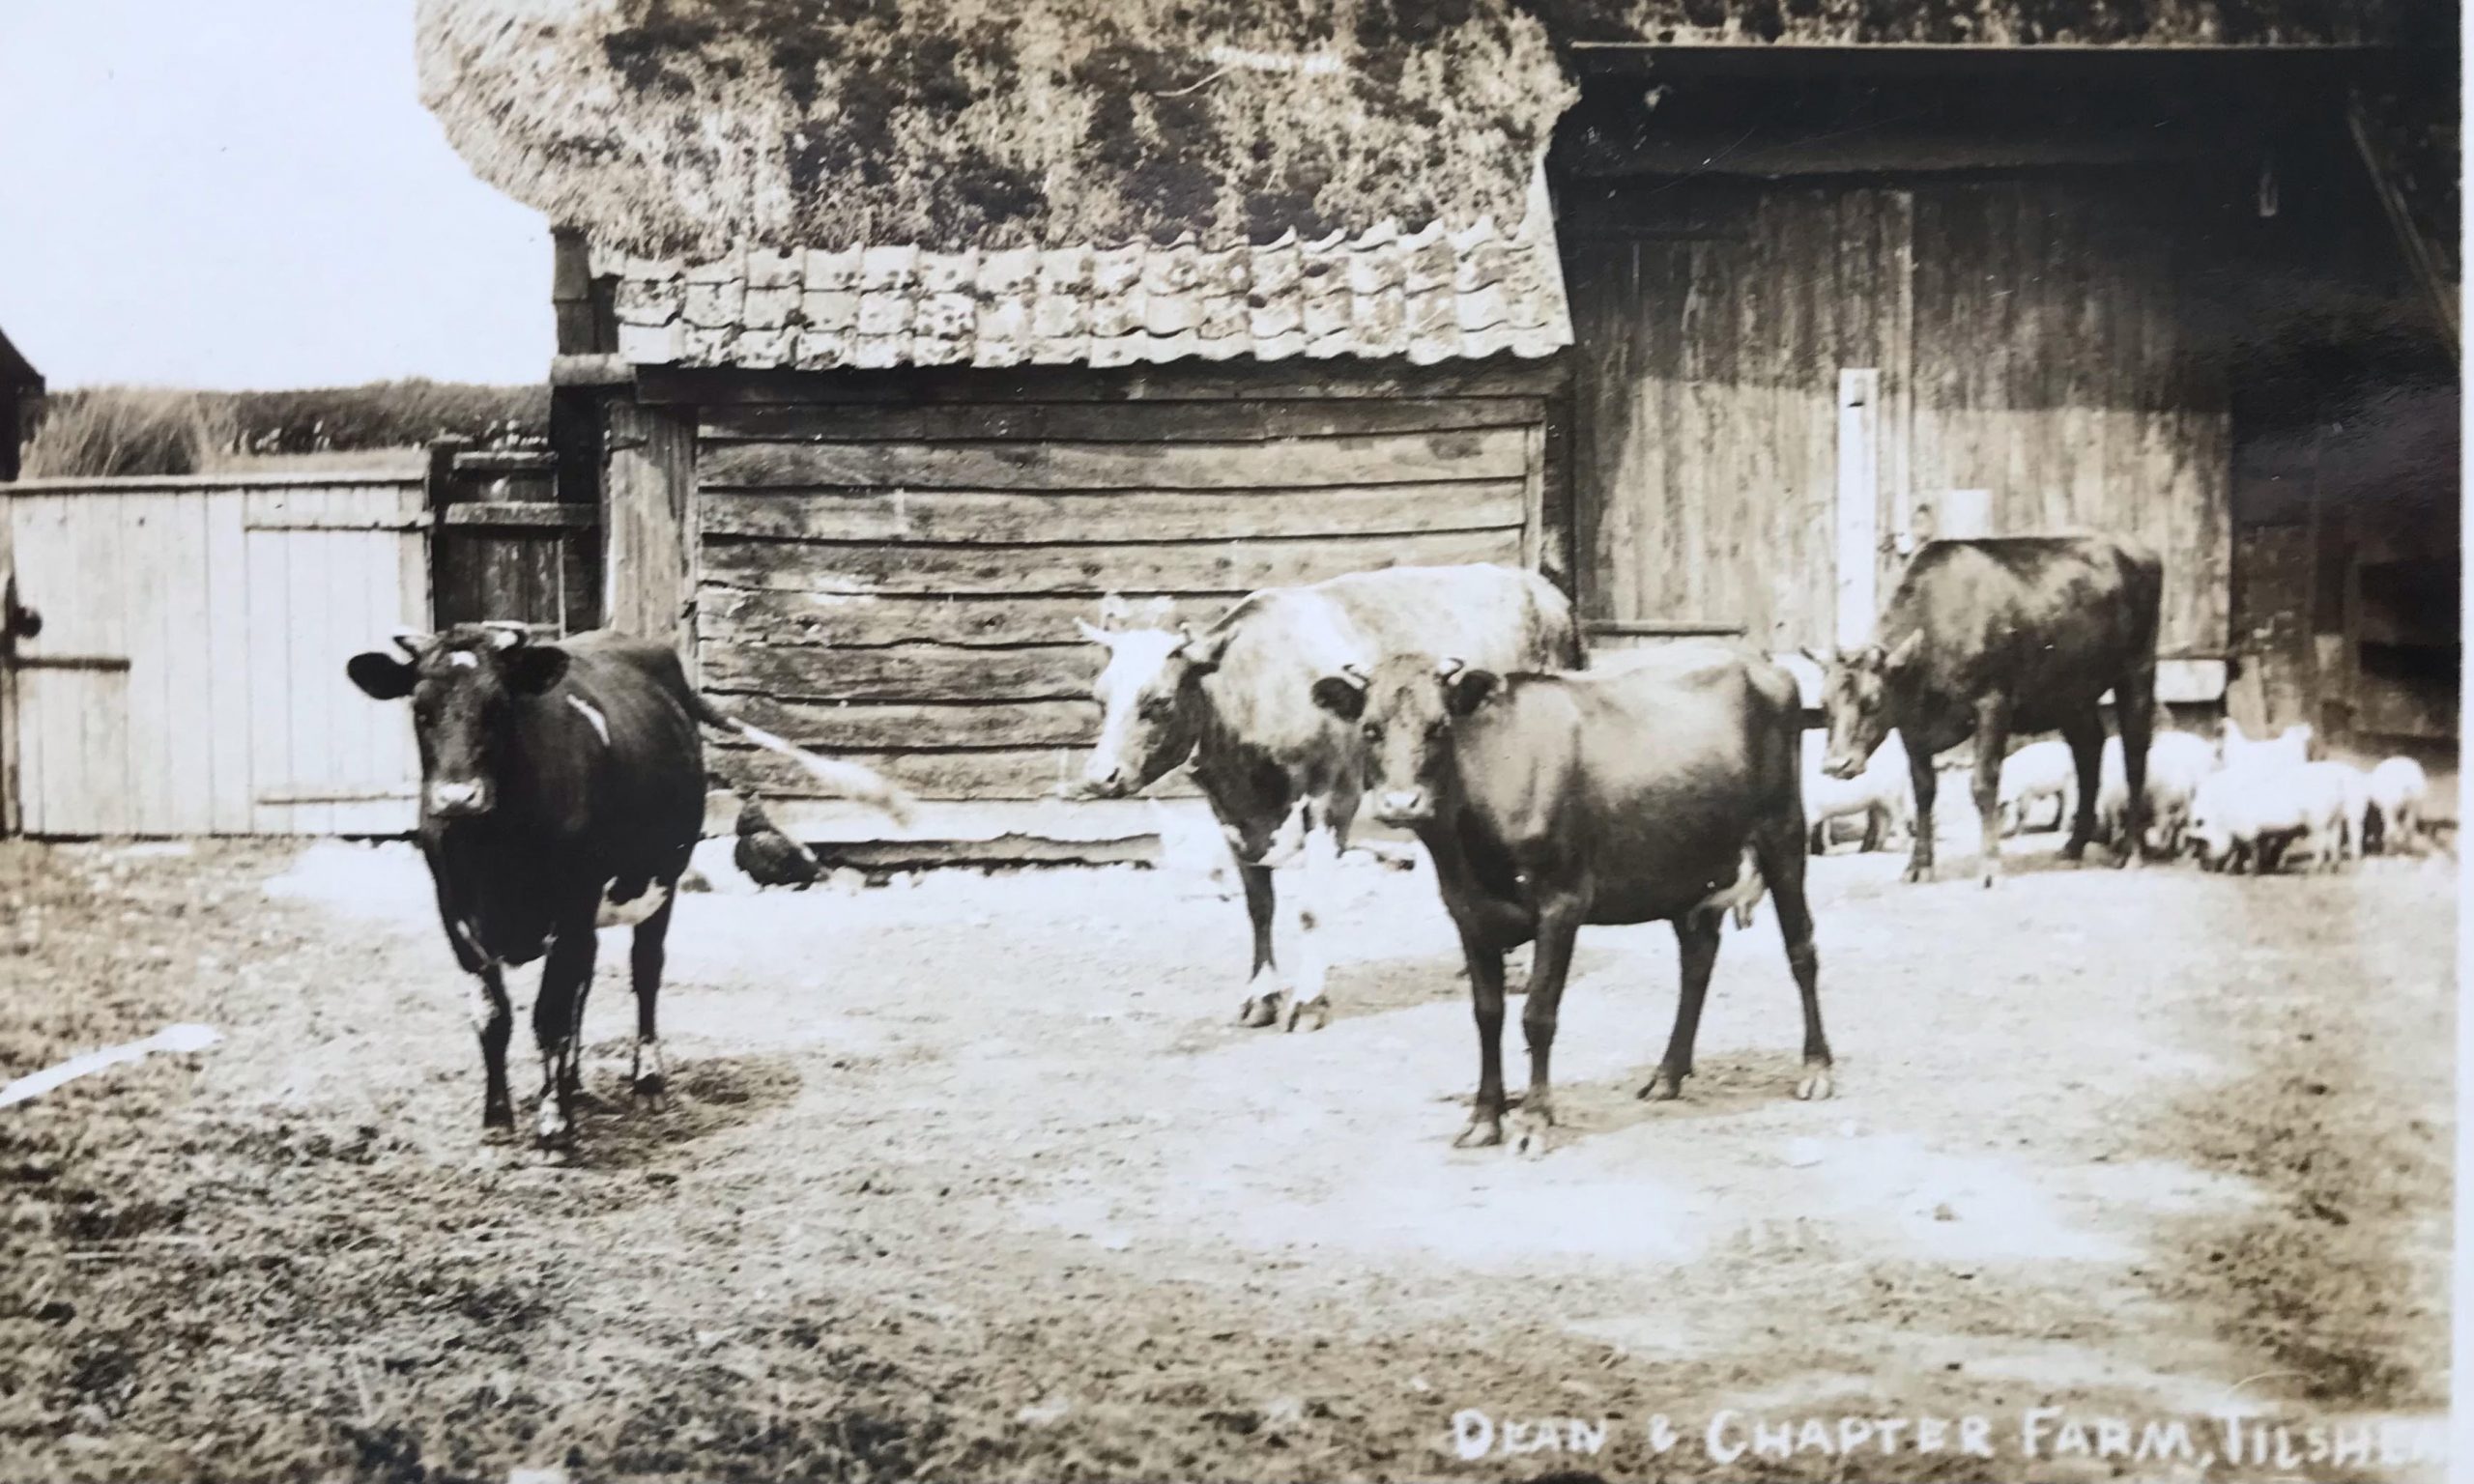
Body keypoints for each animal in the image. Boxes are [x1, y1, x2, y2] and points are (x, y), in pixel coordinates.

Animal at [347, 624, 913, 1147]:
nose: (458, 797)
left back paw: (646, 1080)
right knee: (586, 979)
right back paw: (574, 1082)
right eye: (421, 708)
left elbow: (550, 1016)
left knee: (645, 972)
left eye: (499, 706)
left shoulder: (572, 906)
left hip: (661, 883)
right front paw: (498, 1116)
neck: (495, 852)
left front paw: (553, 1126)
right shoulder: (457, 915)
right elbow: (493, 1017)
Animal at [1073, 565, 1576, 1032]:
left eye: (1158, 701)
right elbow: (1259, 907)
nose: (1100, 777)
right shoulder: (1233, 814)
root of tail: (1542, 588)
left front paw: (1308, 1002)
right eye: (1099, 698)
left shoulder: (1331, 797)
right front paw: (1261, 996)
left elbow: (1311, 908)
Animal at [1311, 641, 1829, 1157]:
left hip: (1784, 834)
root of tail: (1760, 665)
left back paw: (1816, 1068)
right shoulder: (1467, 911)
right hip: (1689, 867)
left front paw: (1534, 1121)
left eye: (1438, 726)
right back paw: (1667, 1075)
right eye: (1370, 728)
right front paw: (1484, 1119)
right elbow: (1487, 1014)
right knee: (1697, 961)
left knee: (1801, 949)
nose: (1402, 803)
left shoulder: (1562, 903)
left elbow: (1538, 1015)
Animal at [1812, 534, 2164, 887]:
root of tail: (2137, 548)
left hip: (2138, 669)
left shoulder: (1992, 703)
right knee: (2088, 750)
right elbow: (1924, 790)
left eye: (1873, 701)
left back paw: (2131, 852)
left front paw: (1991, 868)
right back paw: (2074, 846)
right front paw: (1918, 866)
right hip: (2072, 694)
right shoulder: (1912, 728)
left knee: (2135, 755)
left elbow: (1983, 785)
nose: (1836, 764)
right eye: (1824, 704)